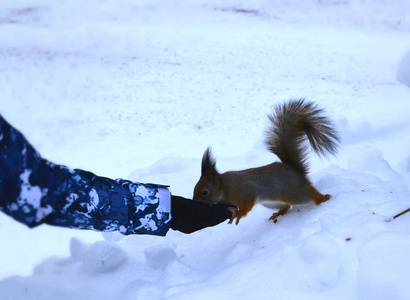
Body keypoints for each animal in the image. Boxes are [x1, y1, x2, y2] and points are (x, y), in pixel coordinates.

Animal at [192, 99, 340, 225]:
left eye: (205, 192)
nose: (194, 202)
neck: (225, 187)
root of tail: (296, 171)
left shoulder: (245, 192)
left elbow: (246, 206)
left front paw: (239, 214)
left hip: (293, 192)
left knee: (309, 194)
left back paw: (322, 199)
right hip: (271, 202)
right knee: (286, 206)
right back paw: (278, 214)